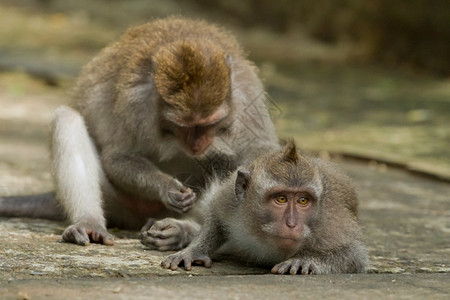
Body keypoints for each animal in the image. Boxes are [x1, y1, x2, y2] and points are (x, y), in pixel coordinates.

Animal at [0, 17, 280, 248]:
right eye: (184, 126)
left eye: (209, 123)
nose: (197, 145)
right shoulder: (136, 102)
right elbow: (118, 156)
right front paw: (167, 187)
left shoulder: (246, 92)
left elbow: (259, 152)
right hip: (123, 204)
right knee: (66, 119)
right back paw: (89, 222)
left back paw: (183, 230)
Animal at [162, 141, 370, 274]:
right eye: (281, 199)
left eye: (303, 201)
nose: (292, 224)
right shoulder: (231, 199)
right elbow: (216, 214)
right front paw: (193, 250)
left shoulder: (331, 223)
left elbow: (354, 256)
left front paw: (305, 260)